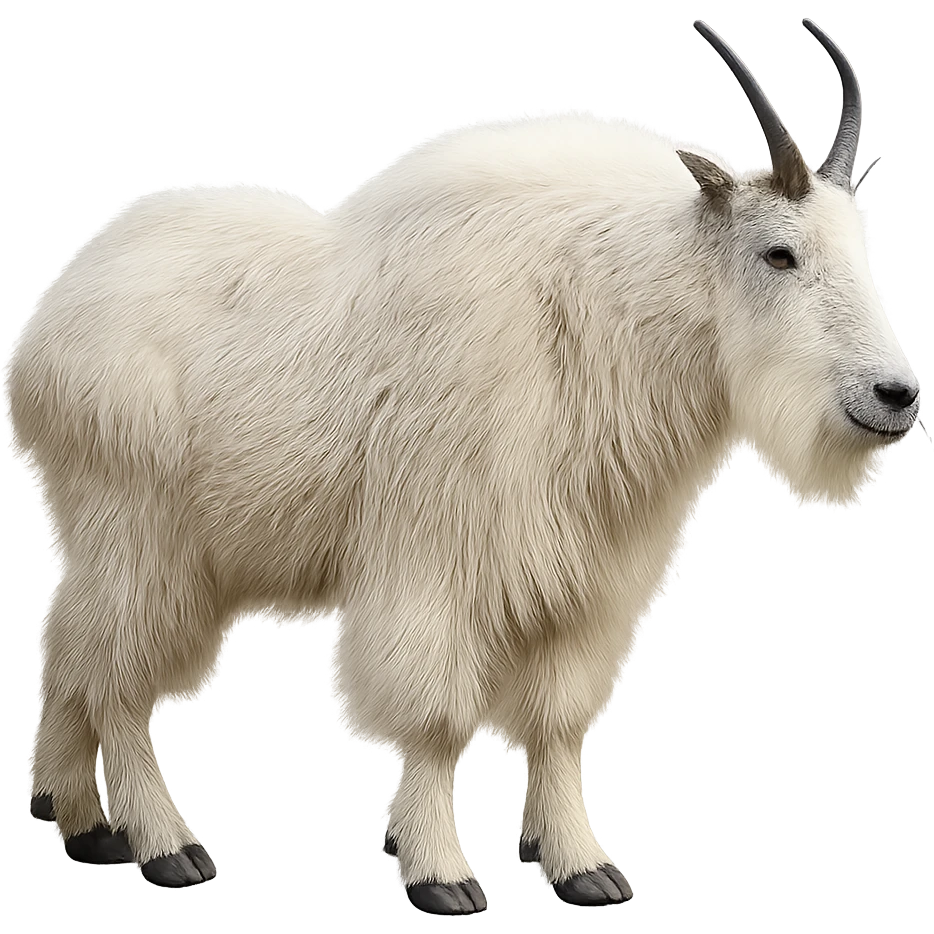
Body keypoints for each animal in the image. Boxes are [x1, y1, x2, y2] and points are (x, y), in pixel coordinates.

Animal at [6, 18, 918, 911]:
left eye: (864, 248)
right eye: (778, 254)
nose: (895, 395)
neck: (599, 314)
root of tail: (41, 329)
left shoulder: (584, 579)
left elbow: (559, 722)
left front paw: (579, 865)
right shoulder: (438, 559)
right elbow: (435, 717)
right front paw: (439, 871)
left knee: (66, 646)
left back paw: (80, 821)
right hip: (145, 533)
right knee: (115, 677)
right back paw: (166, 845)